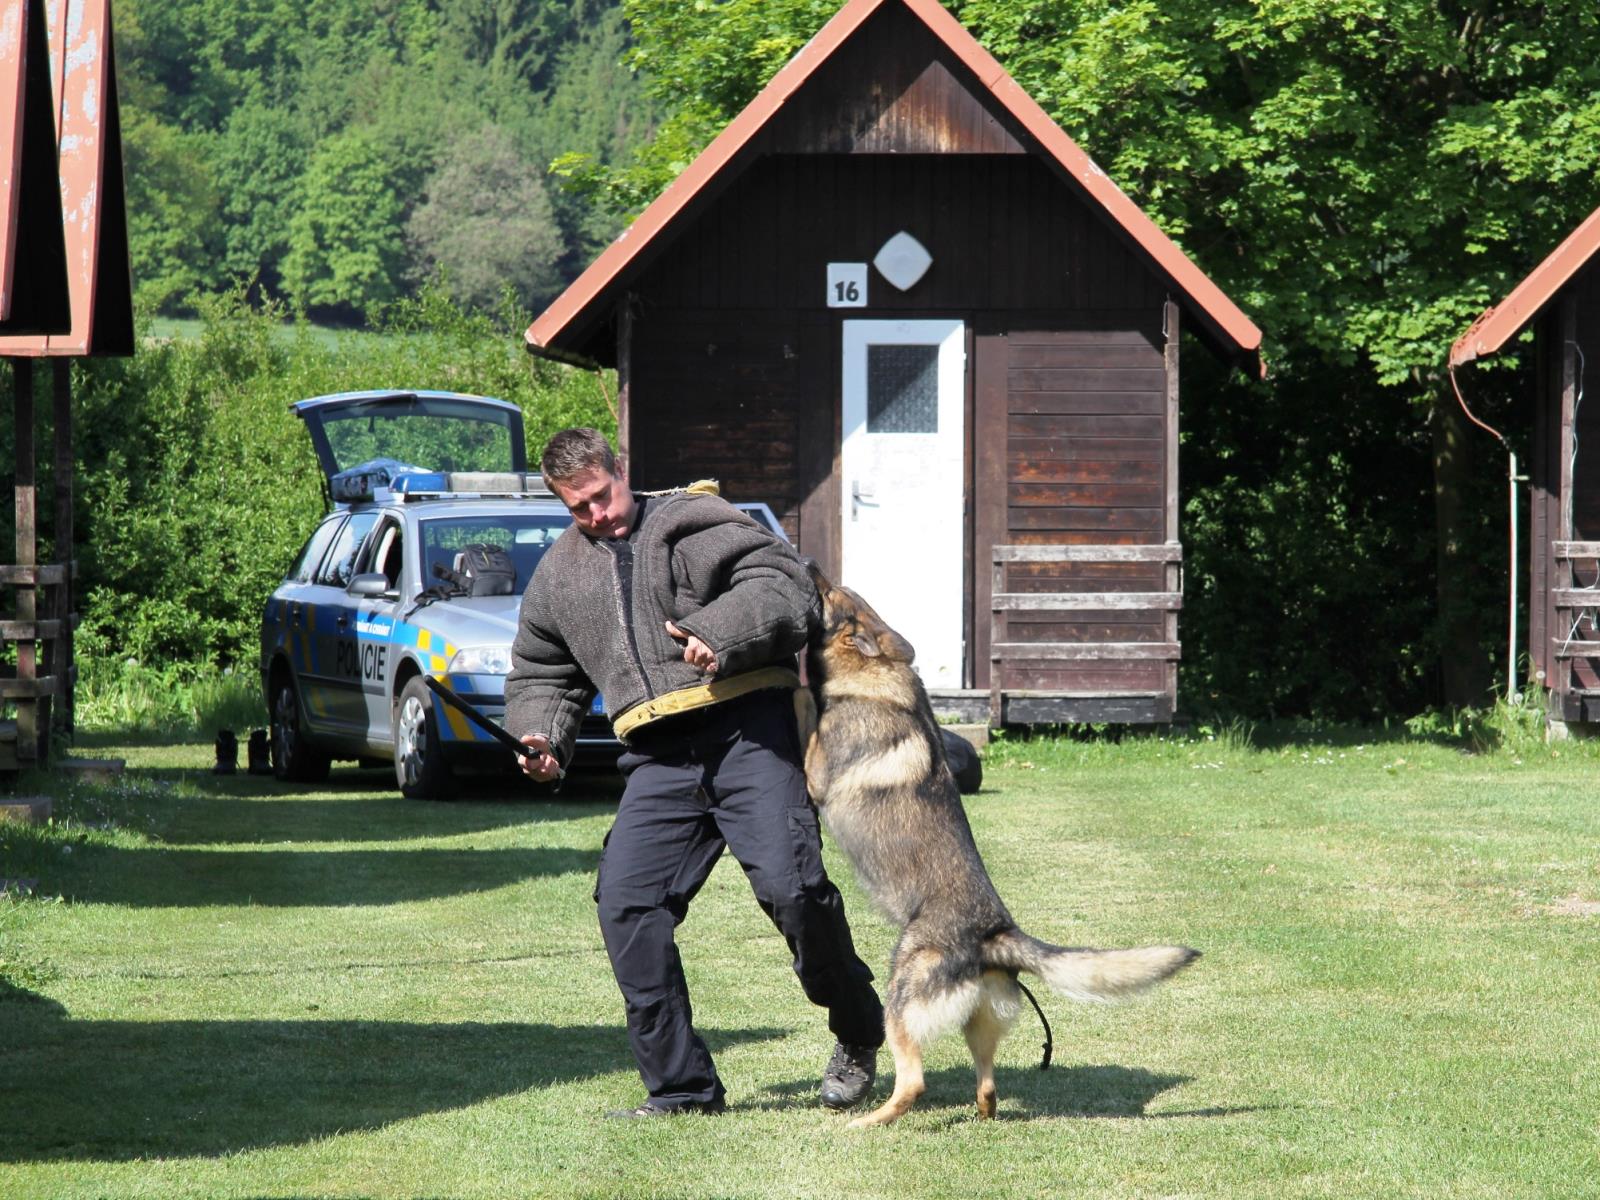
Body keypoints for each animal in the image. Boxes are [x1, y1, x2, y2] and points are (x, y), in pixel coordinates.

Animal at [800, 569, 1203, 1132]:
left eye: (830, 594)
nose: (812, 567)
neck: (875, 673)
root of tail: (996, 936)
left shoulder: (815, 770)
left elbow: (803, 721)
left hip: (901, 990)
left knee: (914, 1081)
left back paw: (866, 1123)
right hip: (979, 1023)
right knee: (988, 1085)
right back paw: (979, 1113)